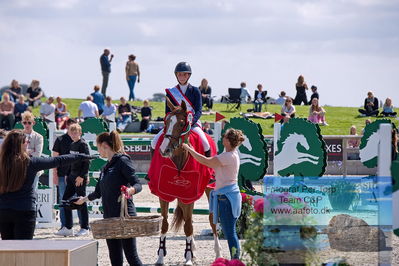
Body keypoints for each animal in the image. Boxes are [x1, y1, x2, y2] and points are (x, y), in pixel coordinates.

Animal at [148, 98, 222, 266]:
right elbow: (164, 224)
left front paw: (188, 257)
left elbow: (188, 226)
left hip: (210, 189)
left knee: (211, 219)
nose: (164, 150)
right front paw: (160, 256)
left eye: (182, 123)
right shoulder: (164, 194)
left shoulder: (189, 195)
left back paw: (217, 253)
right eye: (166, 121)